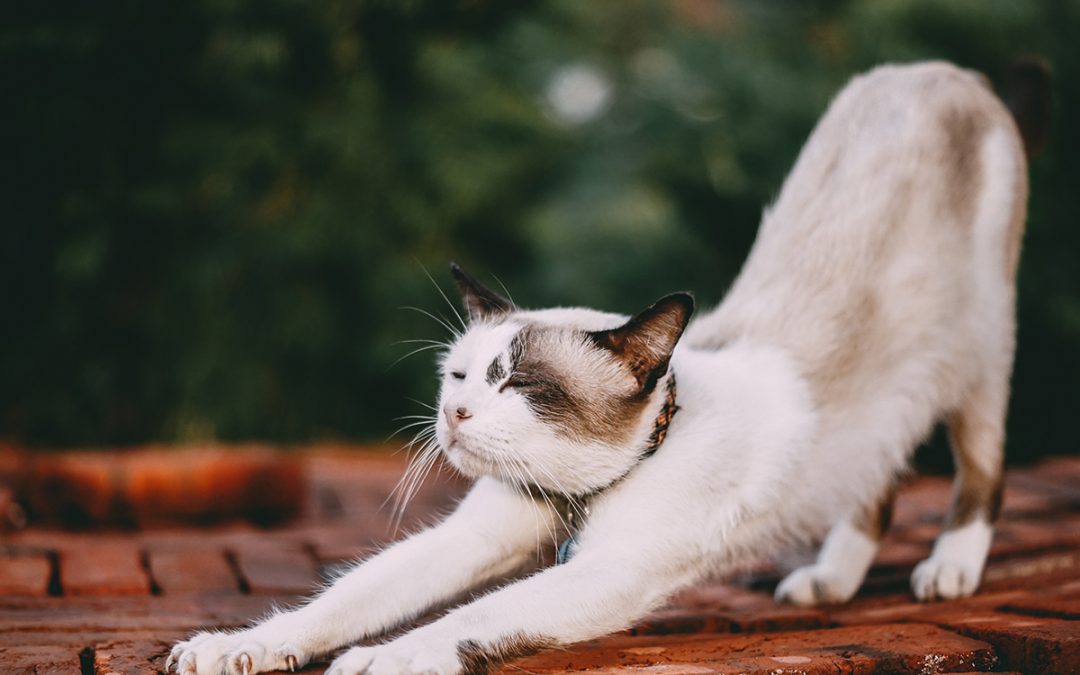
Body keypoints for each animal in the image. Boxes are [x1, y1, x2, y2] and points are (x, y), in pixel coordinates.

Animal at [168, 61, 1045, 673]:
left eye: (519, 383)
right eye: (460, 379)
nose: (454, 416)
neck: (575, 497)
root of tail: (940, 72)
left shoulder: (611, 572)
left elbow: (460, 621)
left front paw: (379, 658)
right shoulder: (472, 537)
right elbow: (341, 599)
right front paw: (231, 647)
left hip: (977, 360)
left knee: (980, 469)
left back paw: (948, 569)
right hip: (897, 405)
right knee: (879, 473)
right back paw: (829, 580)